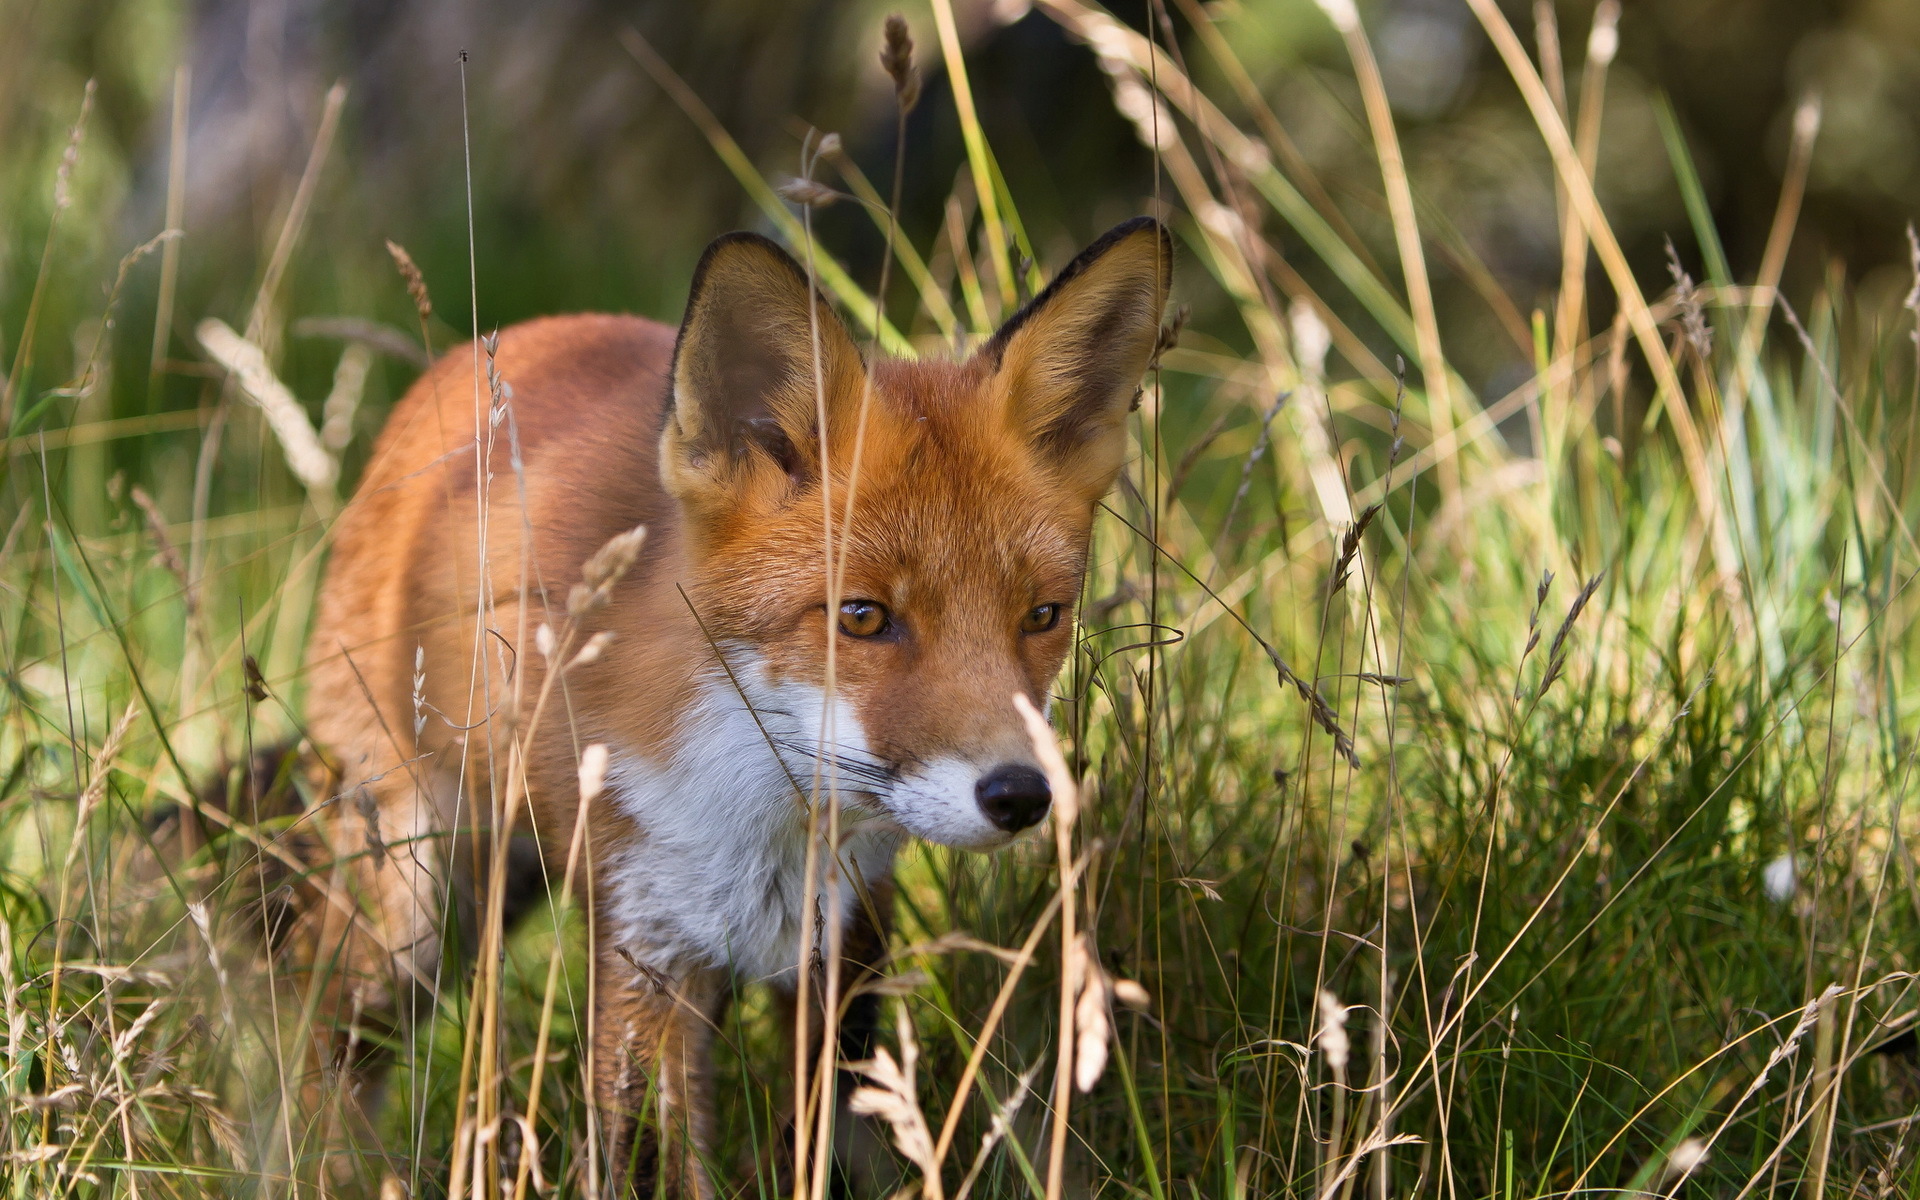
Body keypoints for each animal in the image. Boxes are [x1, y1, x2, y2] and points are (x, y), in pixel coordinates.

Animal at [289, 215, 1167, 1190]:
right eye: (863, 617)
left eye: (1042, 616)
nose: (1020, 795)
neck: (757, 822)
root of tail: (492, 343)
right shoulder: (644, 949)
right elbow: (647, 1157)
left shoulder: (840, 941)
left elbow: (825, 1135)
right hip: (411, 900)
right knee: (322, 1039)